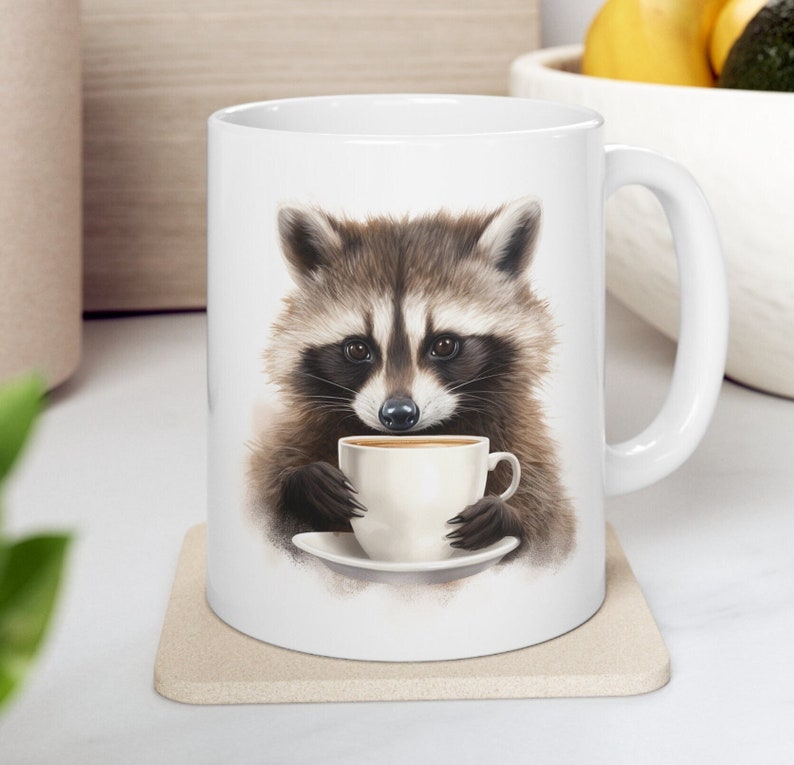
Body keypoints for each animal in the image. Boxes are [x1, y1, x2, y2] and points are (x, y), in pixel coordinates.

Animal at [248, 198, 576, 566]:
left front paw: (504, 515)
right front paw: (303, 480)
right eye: (357, 349)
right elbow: (266, 491)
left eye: (444, 345)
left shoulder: (525, 444)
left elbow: (550, 524)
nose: (399, 414)